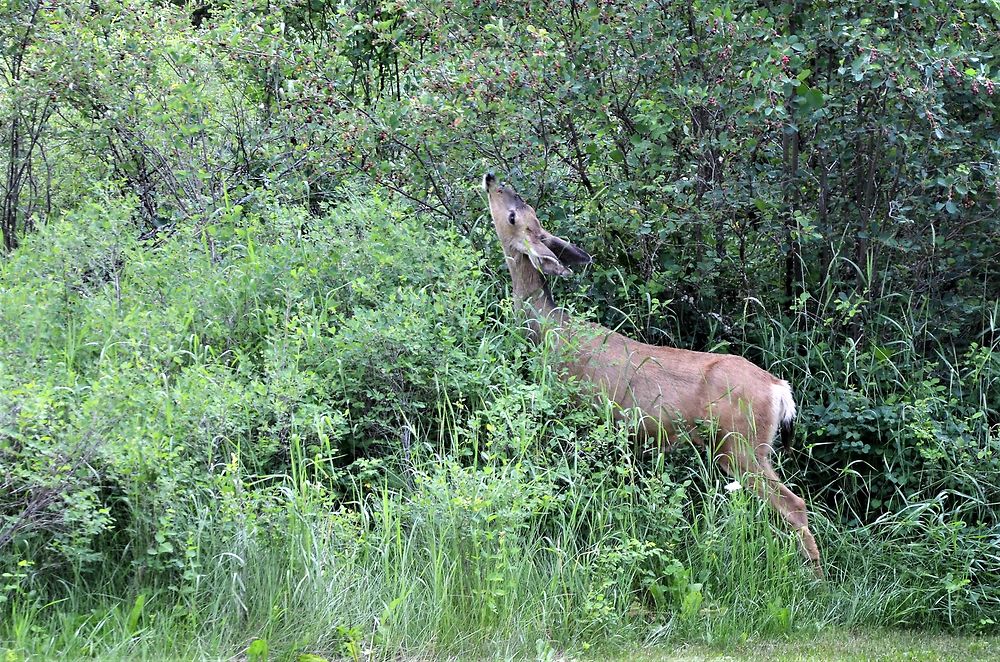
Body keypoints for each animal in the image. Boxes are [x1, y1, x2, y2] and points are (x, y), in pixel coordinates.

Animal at [482, 174, 820, 580]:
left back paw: (817, 579)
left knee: (795, 504)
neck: (550, 329)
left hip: (742, 444)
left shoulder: (576, 409)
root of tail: (779, 388)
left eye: (514, 214)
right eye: (524, 207)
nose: (491, 179)